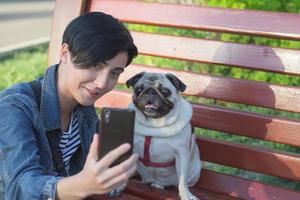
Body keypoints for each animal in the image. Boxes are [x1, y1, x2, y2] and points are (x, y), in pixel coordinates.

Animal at [125, 72, 200, 200]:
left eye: (164, 91)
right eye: (139, 90)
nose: (150, 91)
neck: (154, 125)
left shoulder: (182, 153)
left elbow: (182, 179)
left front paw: (186, 194)